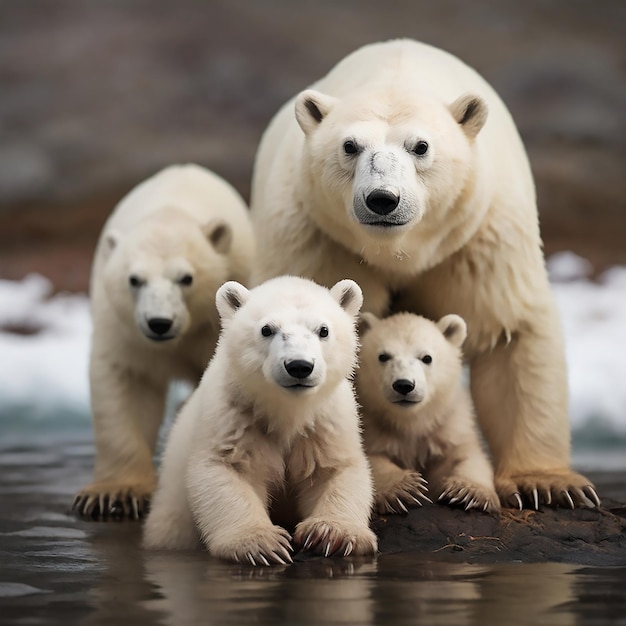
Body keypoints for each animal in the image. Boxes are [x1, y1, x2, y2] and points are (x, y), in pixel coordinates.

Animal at [74, 163, 255, 520]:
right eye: (134, 279)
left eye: (186, 278)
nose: (159, 323)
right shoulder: (122, 326)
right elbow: (126, 383)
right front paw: (113, 494)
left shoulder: (215, 318)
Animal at [142, 276, 376, 564]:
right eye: (267, 329)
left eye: (323, 330)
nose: (299, 366)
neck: (287, 410)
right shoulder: (234, 416)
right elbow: (227, 468)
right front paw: (261, 544)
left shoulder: (325, 422)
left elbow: (336, 470)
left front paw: (332, 534)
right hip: (172, 512)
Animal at [356, 310, 498, 512]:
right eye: (383, 356)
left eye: (426, 358)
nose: (404, 385)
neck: (413, 420)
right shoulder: (372, 427)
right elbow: (373, 460)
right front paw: (404, 489)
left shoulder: (449, 427)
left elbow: (467, 456)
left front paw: (468, 492)